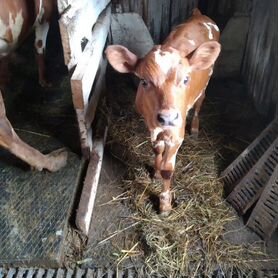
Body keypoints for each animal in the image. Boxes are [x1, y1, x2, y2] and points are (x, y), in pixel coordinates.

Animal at [105, 8, 220, 213]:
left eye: (185, 79)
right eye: (144, 81)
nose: (167, 118)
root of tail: (199, 14)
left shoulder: (177, 133)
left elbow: (168, 169)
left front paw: (165, 203)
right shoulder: (151, 124)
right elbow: (156, 148)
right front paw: (156, 172)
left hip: (205, 84)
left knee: (199, 104)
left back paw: (195, 128)